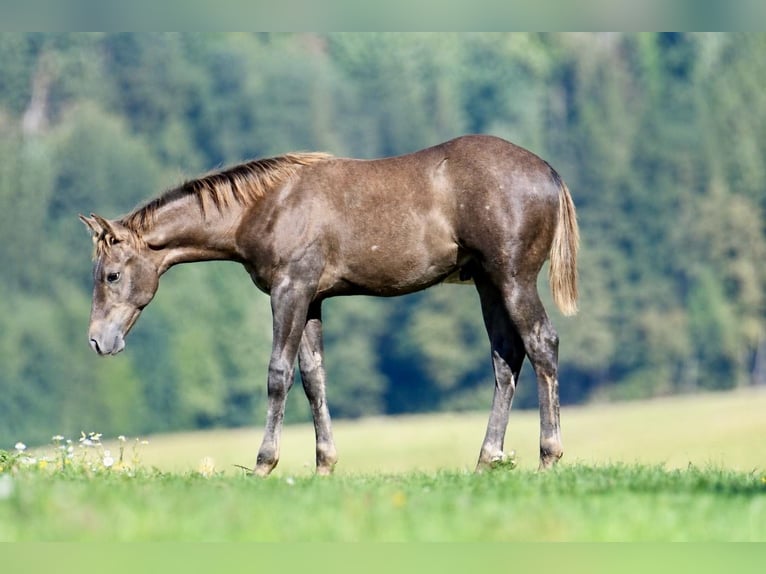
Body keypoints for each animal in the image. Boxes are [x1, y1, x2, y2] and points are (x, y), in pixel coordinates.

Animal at [80, 134, 579, 475]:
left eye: (111, 275)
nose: (98, 341)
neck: (267, 205)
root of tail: (549, 173)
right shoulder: (313, 299)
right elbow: (313, 378)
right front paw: (324, 463)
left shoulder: (290, 291)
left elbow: (278, 375)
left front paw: (264, 463)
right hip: (488, 286)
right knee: (505, 360)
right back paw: (486, 460)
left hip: (513, 280)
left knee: (542, 345)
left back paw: (548, 456)